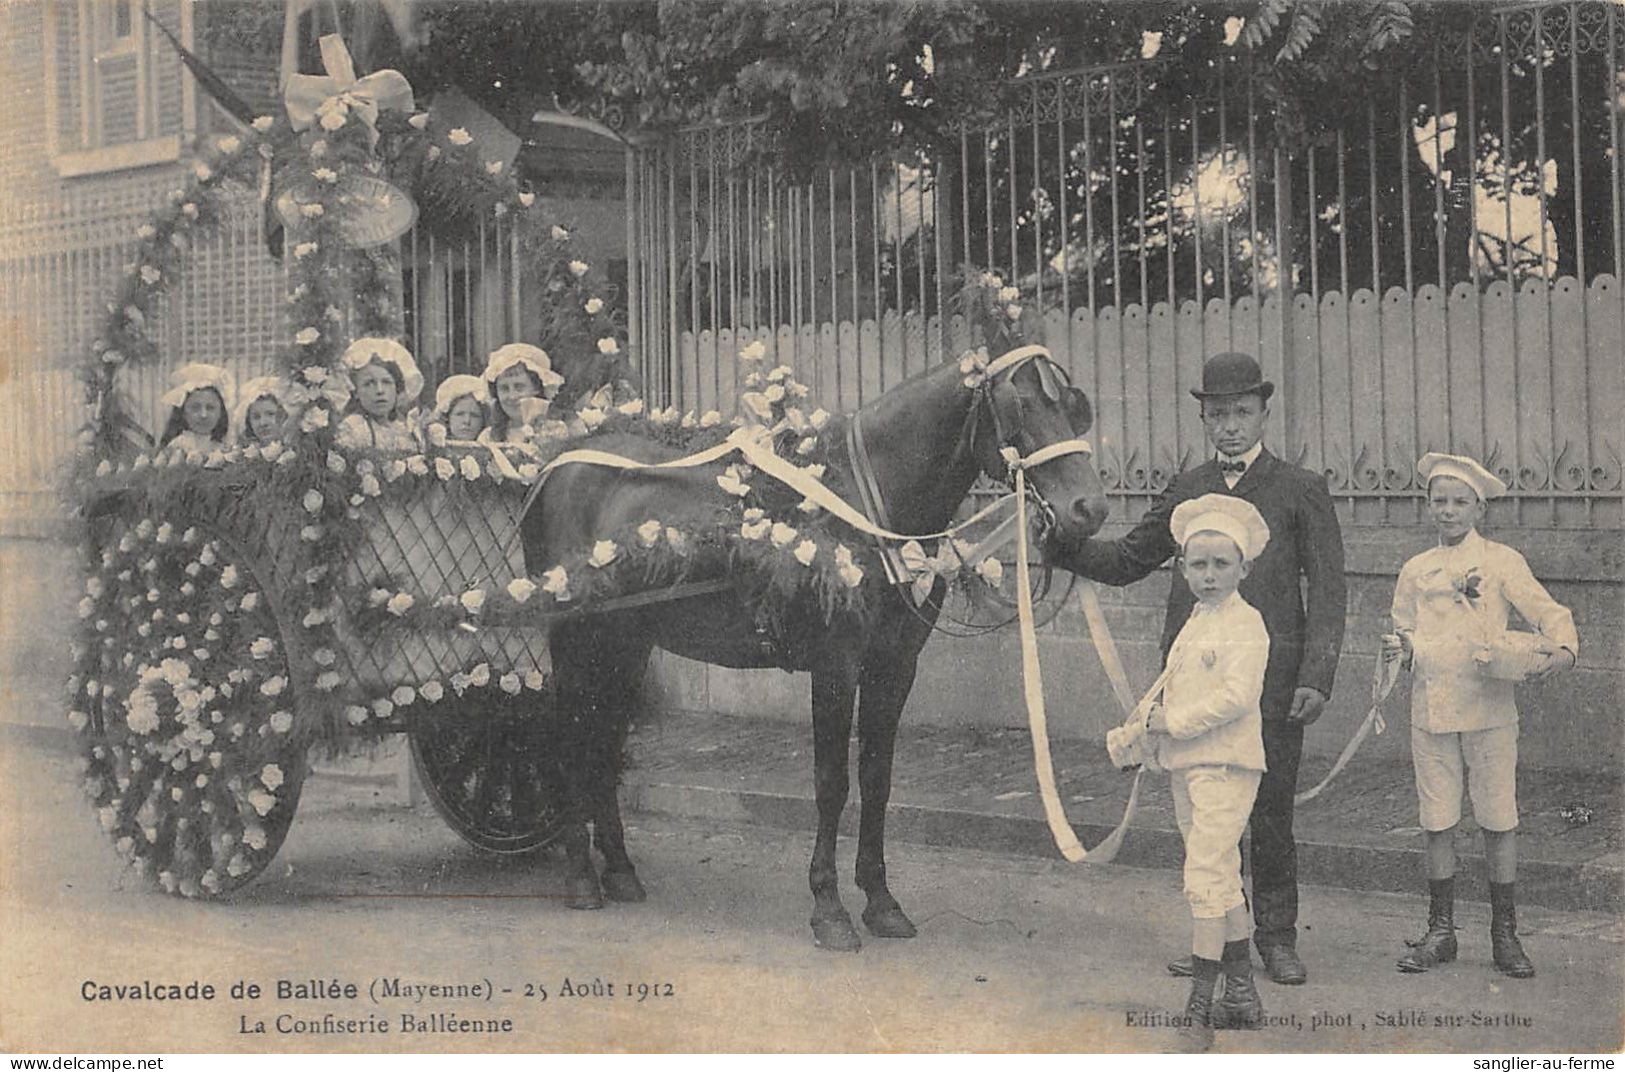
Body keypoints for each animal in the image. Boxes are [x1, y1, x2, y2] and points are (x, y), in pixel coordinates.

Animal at [526, 347, 1111, 948]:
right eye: (1021, 405)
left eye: (1071, 405)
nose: (1089, 507)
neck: (869, 507)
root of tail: (556, 466)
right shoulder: (835, 666)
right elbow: (832, 784)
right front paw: (828, 906)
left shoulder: (894, 667)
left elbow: (877, 779)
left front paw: (880, 899)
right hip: (574, 638)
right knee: (569, 739)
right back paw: (581, 878)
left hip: (625, 644)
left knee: (605, 740)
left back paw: (620, 869)